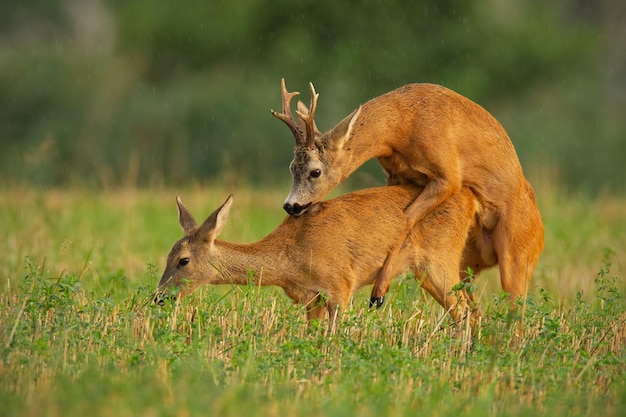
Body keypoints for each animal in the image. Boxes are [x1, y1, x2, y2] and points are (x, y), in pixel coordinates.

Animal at [272, 79, 540, 306]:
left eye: (315, 172)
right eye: (291, 167)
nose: (291, 206)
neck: (401, 126)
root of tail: (541, 232)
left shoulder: (447, 175)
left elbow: (405, 218)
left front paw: (379, 293)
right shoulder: (396, 176)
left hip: (517, 255)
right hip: (465, 264)